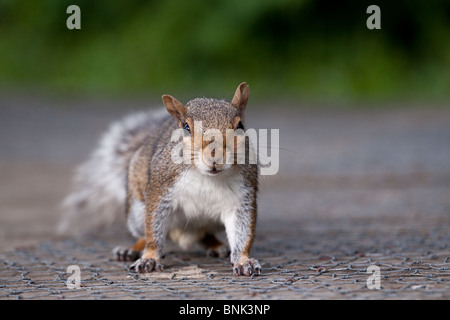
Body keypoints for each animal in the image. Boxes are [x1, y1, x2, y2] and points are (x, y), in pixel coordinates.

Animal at [58, 82, 260, 276]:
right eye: (186, 127)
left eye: (240, 126)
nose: (215, 156)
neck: (206, 176)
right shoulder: (160, 189)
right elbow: (153, 230)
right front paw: (149, 259)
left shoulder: (242, 197)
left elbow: (243, 233)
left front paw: (243, 261)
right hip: (137, 213)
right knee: (145, 233)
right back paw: (131, 249)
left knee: (205, 235)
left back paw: (217, 246)